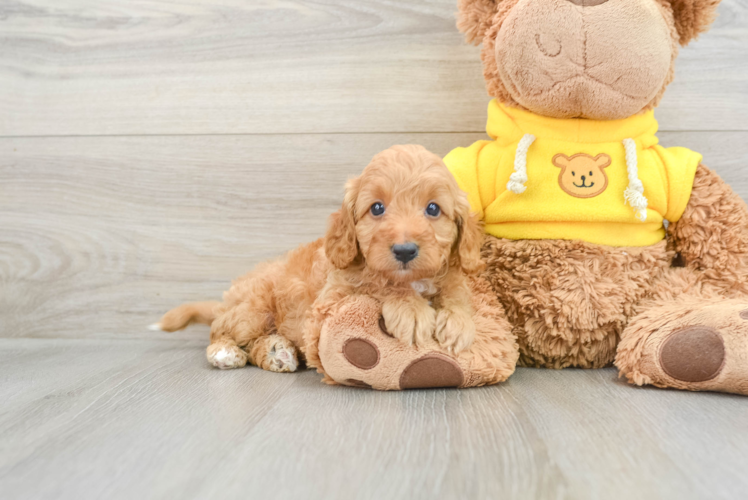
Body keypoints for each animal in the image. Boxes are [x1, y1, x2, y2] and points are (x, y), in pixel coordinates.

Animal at [156, 145, 486, 372]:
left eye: (433, 209)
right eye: (377, 208)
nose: (404, 251)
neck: (414, 280)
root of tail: (227, 299)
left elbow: (456, 289)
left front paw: (458, 320)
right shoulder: (332, 298)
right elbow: (377, 282)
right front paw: (411, 309)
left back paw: (278, 353)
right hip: (253, 309)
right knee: (221, 328)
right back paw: (225, 353)